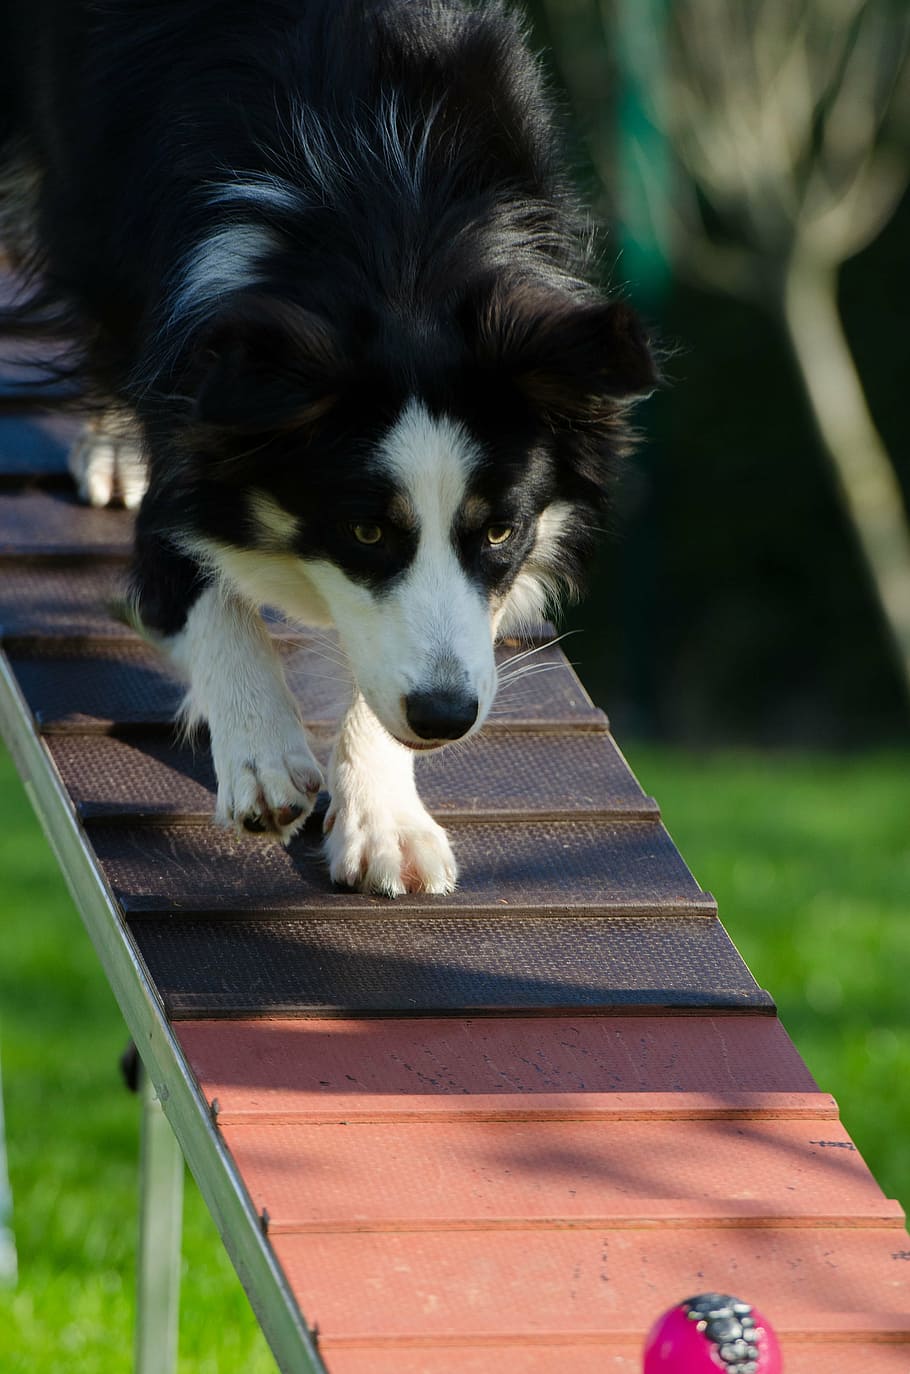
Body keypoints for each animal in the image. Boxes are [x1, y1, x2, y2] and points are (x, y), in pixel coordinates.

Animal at [0, 0, 657, 895]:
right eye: (365, 531)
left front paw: (387, 823)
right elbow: (192, 569)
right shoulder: (195, 377)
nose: (447, 719)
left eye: (500, 530)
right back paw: (111, 450)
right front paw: (262, 758)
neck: (392, 227)